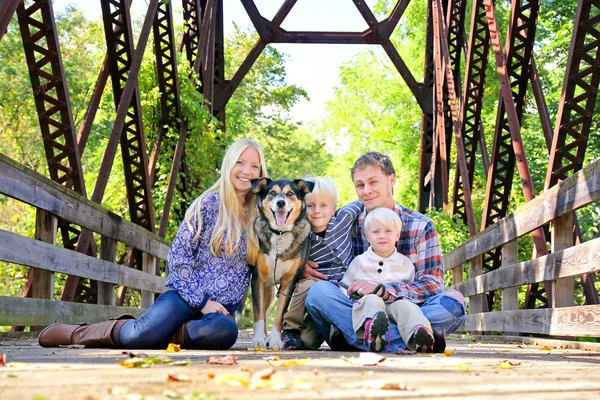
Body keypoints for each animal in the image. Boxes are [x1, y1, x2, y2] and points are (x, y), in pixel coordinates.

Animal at [247, 177, 314, 348]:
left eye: (290, 194)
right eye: (272, 193)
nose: (281, 203)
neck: (280, 234)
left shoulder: (289, 283)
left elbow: (280, 315)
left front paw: (276, 340)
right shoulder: (258, 279)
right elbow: (258, 314)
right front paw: (258, 339)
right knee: (263, 312)